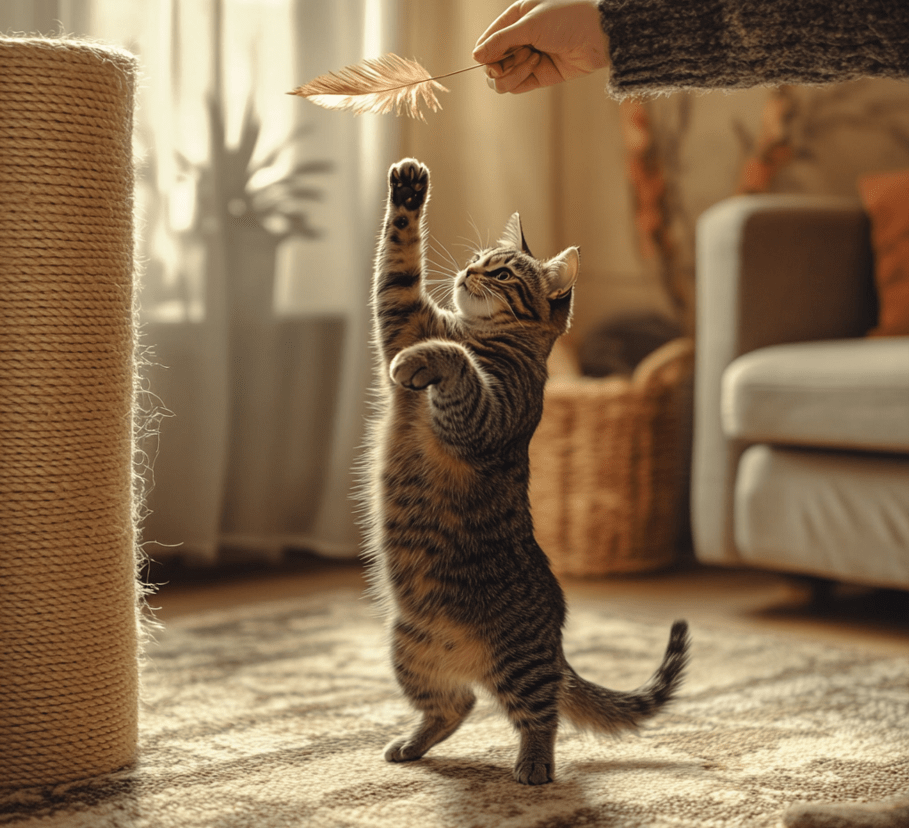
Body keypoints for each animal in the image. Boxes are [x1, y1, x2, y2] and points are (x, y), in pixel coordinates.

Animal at [362, 158, 688, 784]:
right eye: (478, 258)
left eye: (503, 270)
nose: (469, 270)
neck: (473, 331)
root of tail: (556, 644)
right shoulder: (405, 316)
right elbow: (397, 266)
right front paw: (408, 190)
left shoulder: (484, 414)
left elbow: (456, 363)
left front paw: (428, 362)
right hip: (408, 650)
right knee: (456, 706)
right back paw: (412, 744)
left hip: (518, 661)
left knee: (541, 715)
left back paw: (533, 766)